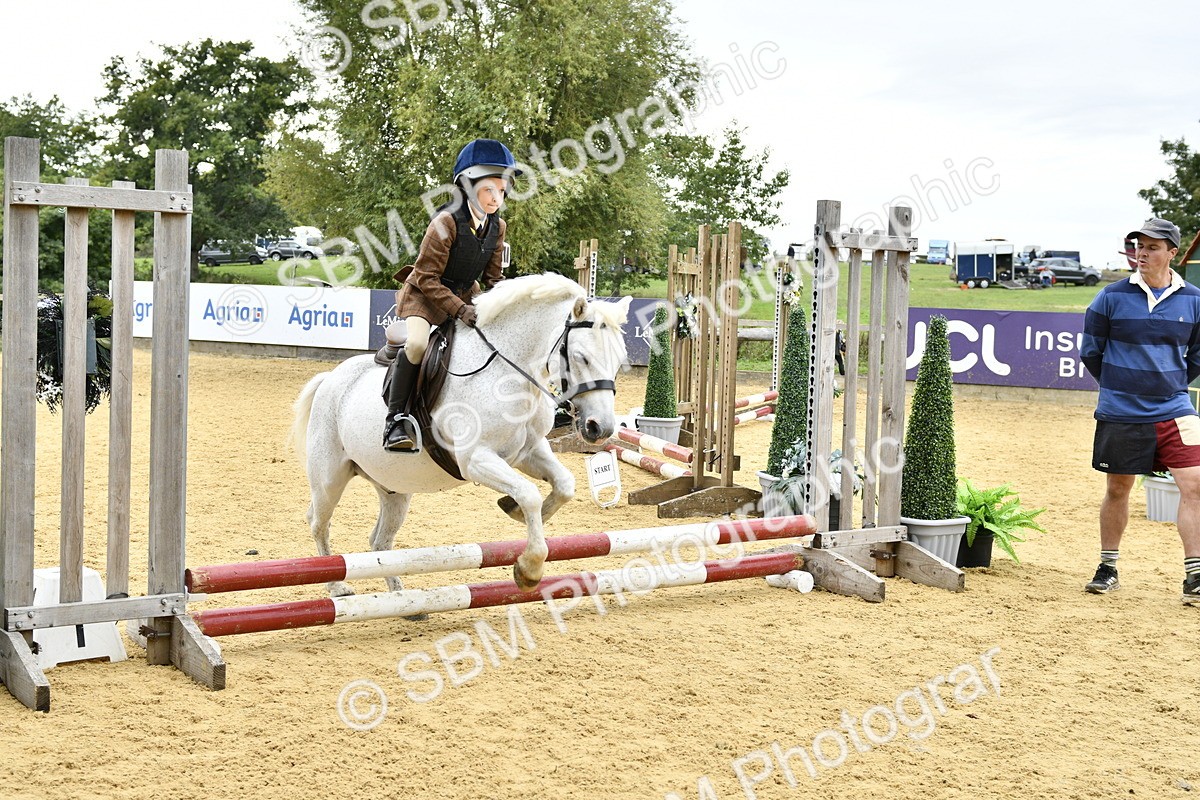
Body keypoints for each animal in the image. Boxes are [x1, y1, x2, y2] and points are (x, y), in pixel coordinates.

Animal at [290, 273, 632, 593]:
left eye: (619, 360)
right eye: (582, 357)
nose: (601, 427)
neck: (508, 372)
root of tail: (330, 377)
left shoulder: (528, 452)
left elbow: (563, 485)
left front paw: (513, 511)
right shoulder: (475, 460)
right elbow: (529, 494)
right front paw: (529, 568)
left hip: (393, 489)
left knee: (380, 542)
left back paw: (404, 601)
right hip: (329, 479)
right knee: (318, 523)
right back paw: (338, 587)